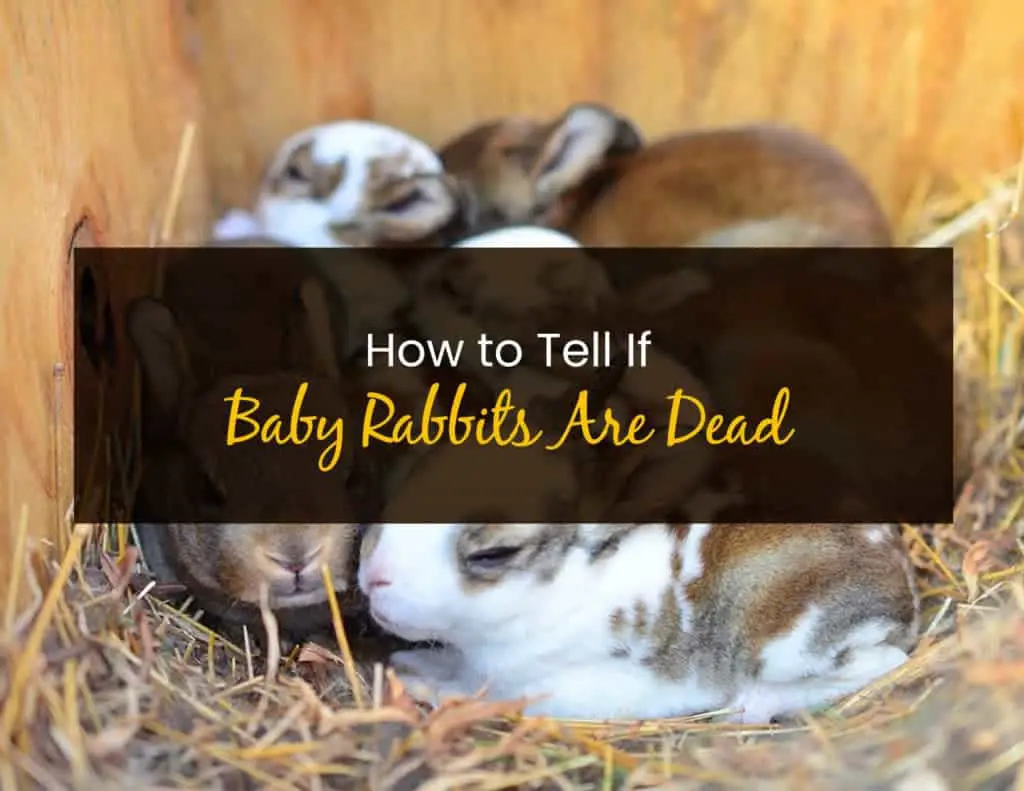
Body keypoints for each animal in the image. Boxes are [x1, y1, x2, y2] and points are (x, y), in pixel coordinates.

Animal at [358, 520, 920, 724]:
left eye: (494, 554)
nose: (373, 573)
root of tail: (907, 593)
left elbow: (484, 695)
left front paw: (425, 685)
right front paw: (412, 666)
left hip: (791, 641)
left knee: (884, 662)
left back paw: (750, 707)